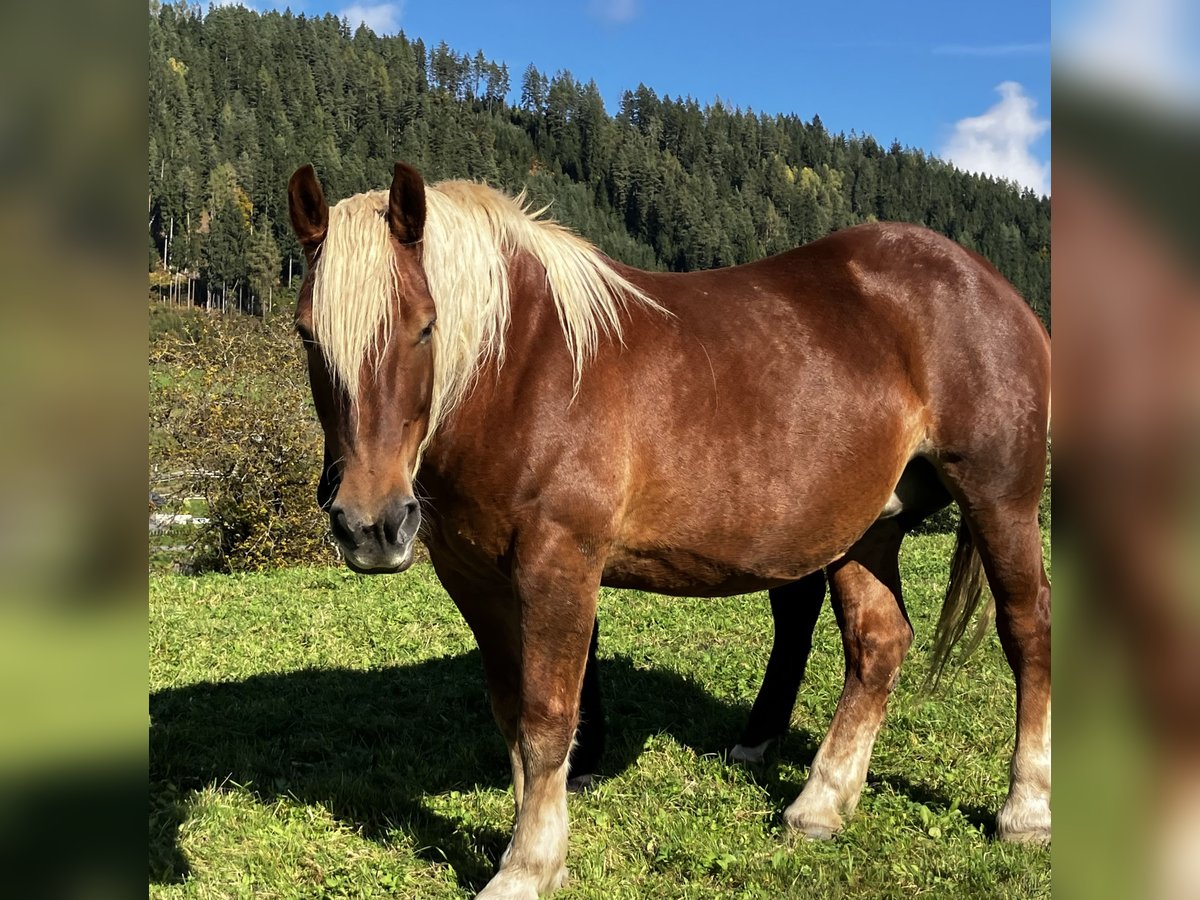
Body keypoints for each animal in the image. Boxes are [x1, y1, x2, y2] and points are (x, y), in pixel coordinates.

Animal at [288, 164, 1051, 900]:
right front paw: (537, 841)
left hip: (1000, 502)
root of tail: (990, 286)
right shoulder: (472, 576)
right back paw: (819, 806)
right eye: (306, 333)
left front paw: (527, 866)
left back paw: (1025, 810)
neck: (523, 371)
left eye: (424, 326)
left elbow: (546, 718)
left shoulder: (558, 562)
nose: (370, 524)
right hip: (867, 530)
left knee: (1026, 631)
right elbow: (511, 713)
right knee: (878, 645)